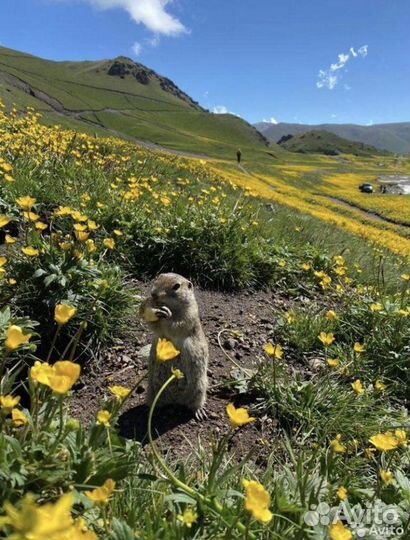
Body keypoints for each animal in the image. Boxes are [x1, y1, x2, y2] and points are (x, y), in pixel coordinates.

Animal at [140, 272, 208, 420]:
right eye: (158, 277)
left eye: (176, 286)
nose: (153, 294)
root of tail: (176, 401)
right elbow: (154, 326)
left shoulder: (189, 315)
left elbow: (176, 325)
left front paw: (167, 316)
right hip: (151, 390)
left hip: (200, 388)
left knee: (195, 403)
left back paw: (199, 411)